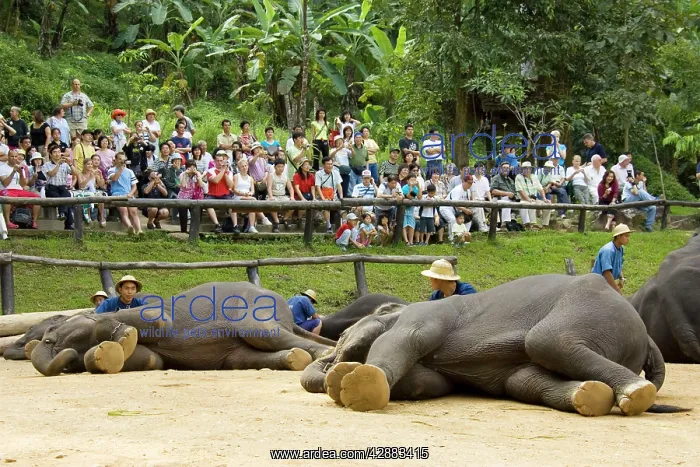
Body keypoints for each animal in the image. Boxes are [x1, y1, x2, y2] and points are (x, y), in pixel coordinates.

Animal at [31, 282, 333, 377]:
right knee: (242, 359)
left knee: (267, 335)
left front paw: (123, 337)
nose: (66, 361)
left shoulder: (158, 313)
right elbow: (152, 359)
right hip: (238, 352)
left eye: (50, 339)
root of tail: (288, 317)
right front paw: (104, 354)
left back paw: (323, 357)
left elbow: (157, 319)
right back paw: (295, 358)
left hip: (253, 312)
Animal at [304, 274, 688, 417]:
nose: (332, 361)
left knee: (546, 341)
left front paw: (354, 383)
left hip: (591, 310)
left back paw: (635, 394)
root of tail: (646, 336)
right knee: (522, 381)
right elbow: (426, 383)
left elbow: (404, 339)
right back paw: (590, 397)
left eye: (342, 335)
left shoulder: (426, 314)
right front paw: (341, 379)